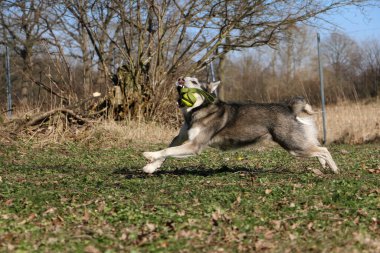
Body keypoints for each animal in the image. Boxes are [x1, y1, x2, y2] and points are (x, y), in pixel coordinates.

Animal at [142, 77, 338, 174]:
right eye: (185, 77)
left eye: (195, 82)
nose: (180, 79)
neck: (195, 111)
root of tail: (289, 107)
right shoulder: (181, 138)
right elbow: (167, 151)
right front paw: (151, 166)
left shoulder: (194, 146)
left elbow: (167, 151)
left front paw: (149, 155)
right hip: (297, 143)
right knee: (317, 147)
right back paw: (323, 164)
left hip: (293, 145)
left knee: (324, 149)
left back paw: (334, 169)